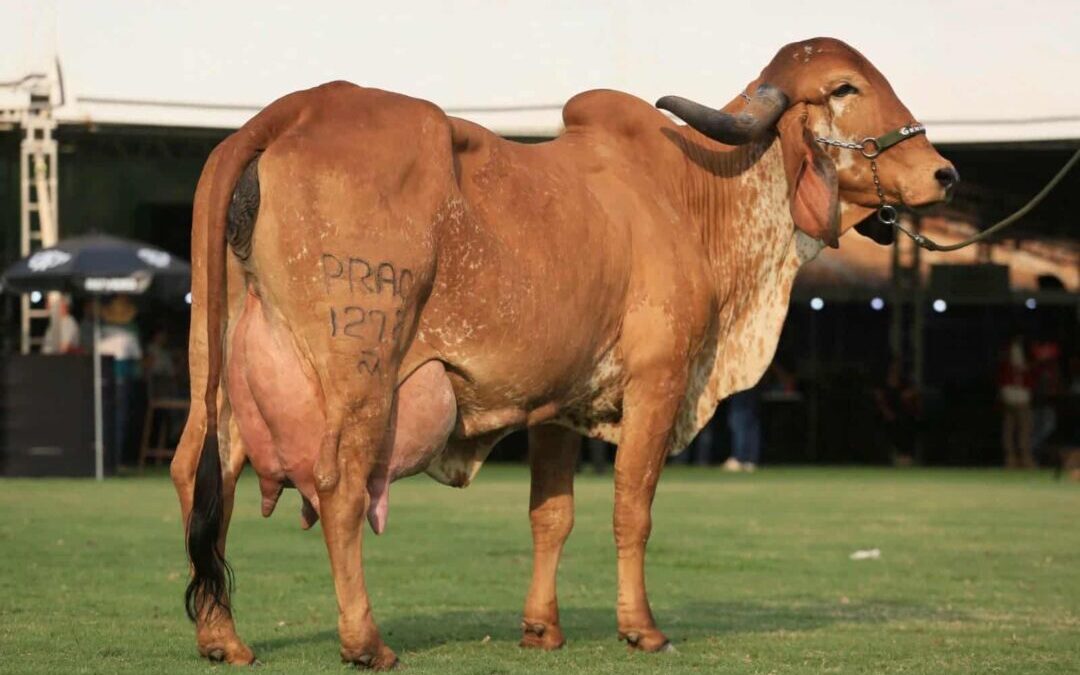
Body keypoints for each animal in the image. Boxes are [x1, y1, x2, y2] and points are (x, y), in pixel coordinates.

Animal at [170, 37, 956, 668]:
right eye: (845, 88)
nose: (944, 172)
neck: (697, 192)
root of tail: (295, 109)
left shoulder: (555, 403)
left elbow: (552, 515)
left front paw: (541, 628)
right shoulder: (658, 381)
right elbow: (632, 508)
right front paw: (641, 628)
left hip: (221, 363)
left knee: (200, 470)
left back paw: (222, 638)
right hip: (361, 364)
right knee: (340, 487)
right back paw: (365, 641)